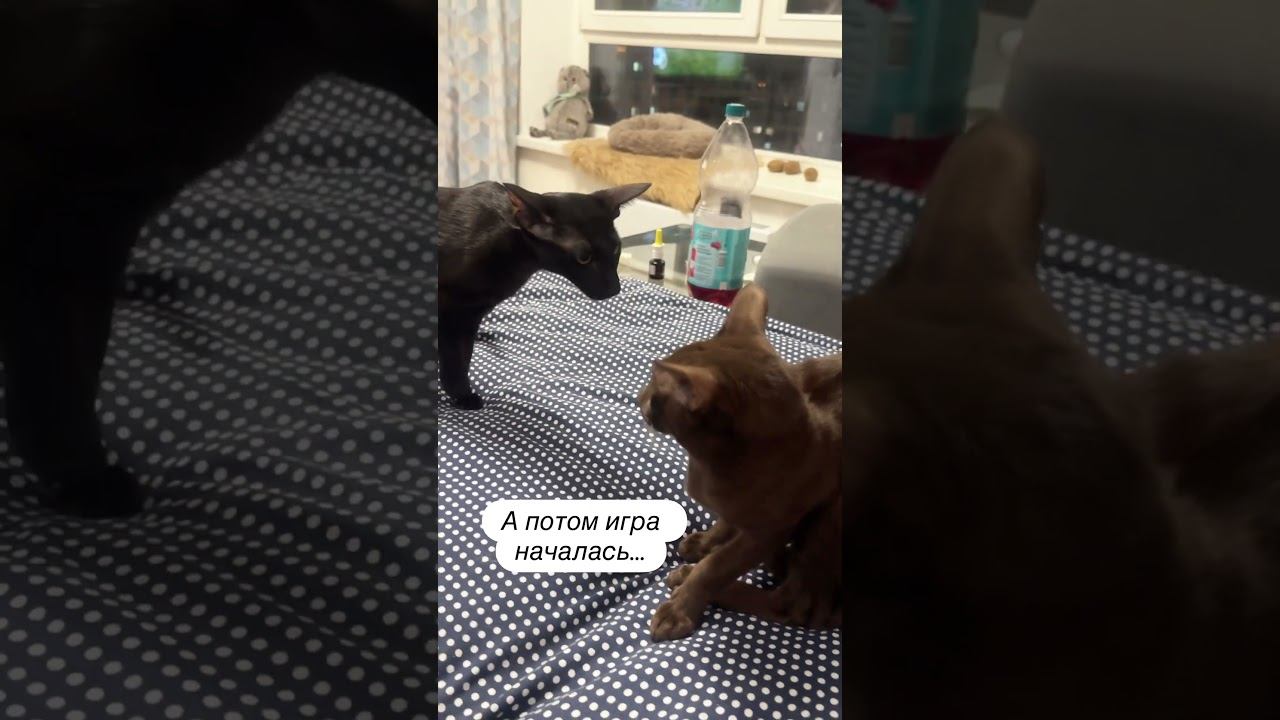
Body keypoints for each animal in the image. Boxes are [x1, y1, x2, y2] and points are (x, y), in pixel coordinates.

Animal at [438, 181, 650, 410]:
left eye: (616, 248)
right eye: (583, 258)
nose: (614, 289)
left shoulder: (469, 317)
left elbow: (463, 357)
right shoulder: (451, 314)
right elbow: (454, 361)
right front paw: (463, 397)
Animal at [637, 283, 842, 641]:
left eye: (655, 395)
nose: (637, 400)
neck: (707, 465)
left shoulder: (770, 530)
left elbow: (717, 567)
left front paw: (682, 607)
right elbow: (725, 523)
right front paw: (706, 541)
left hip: (830, 520)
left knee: (792, 606)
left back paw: (695, 581)